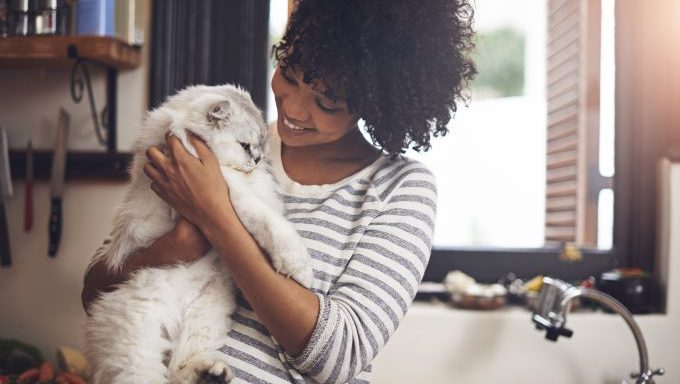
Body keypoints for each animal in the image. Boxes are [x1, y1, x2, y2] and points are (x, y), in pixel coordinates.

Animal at [84, 85, 314, 384]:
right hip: (138, 337)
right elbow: (271, 224)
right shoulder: (228, 190)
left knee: (178, 368)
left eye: (261, 147)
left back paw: (212, 373)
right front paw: (300, 269)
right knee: (154, 374)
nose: (257, 159)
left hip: (206, 315)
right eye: (245, 146)